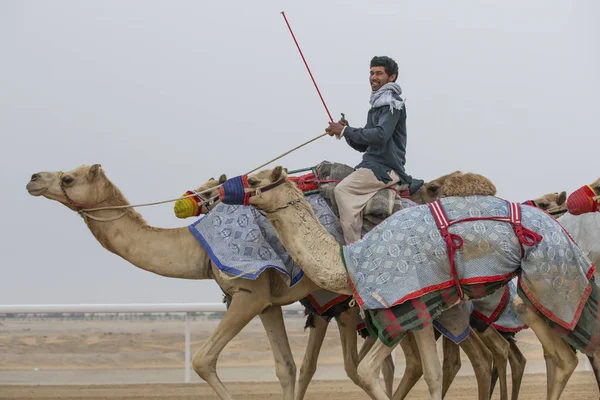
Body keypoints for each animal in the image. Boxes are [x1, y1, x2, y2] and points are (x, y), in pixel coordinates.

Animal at [226, 166, 596, 400]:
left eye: (255, 179)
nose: (224, 191)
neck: (348, 261)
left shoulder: (398, 310)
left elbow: (365, 371)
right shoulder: (422, 310)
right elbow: (431, 374)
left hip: (552, 277)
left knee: (563, 354)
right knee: (560, 353)